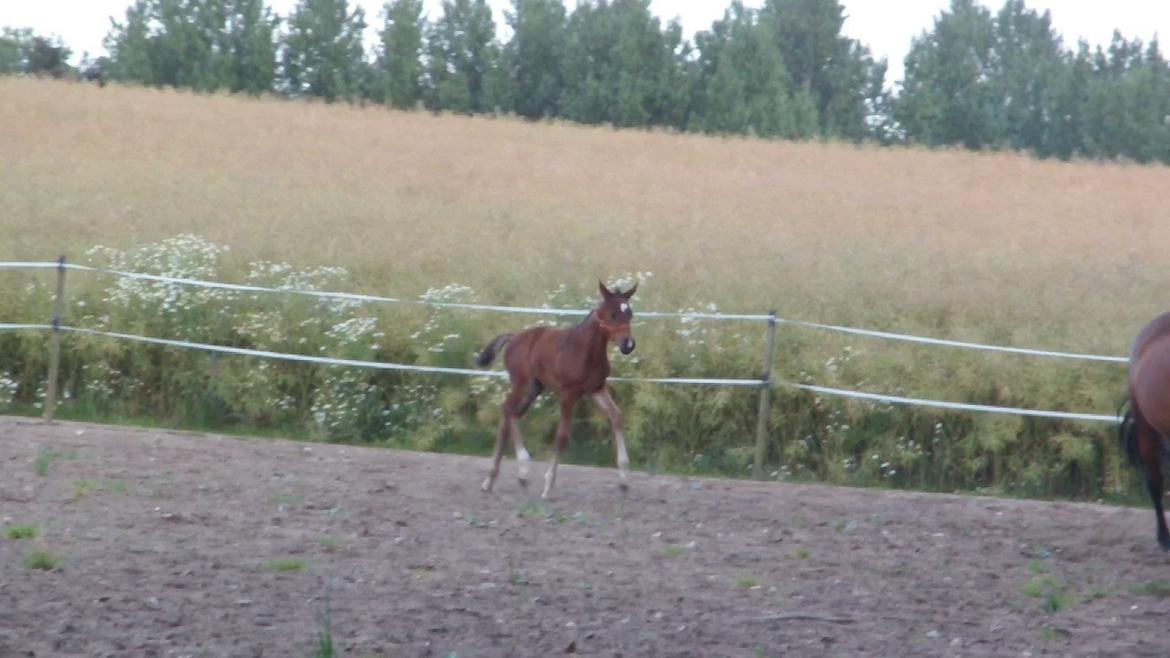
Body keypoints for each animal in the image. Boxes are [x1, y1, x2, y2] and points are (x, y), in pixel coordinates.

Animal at [475, 277, 641, 496]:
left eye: (629, 313)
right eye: (612, 314)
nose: (628, 345)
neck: (584, 351)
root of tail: (513, 337)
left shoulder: (597, 388)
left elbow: (617, 417)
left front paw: (623, 479)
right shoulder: (568, 393)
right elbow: (562, 436)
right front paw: (548, 485)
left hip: (534, 388)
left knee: (509, 416)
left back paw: (492, 480)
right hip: (521, 383)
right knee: (508, 410)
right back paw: (522, 470)